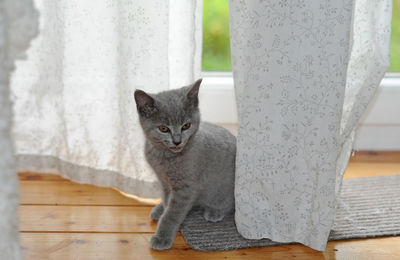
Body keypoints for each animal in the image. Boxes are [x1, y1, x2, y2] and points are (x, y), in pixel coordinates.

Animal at [134, 79, 236, 250]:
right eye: (163, 128)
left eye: (186, 126)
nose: (177, 141)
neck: (164, 157)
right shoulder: (164, 182)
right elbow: (167, 201)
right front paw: (163, 209)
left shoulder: (186, 189)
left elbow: (172, 214)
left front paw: (162, 237)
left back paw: (214, 211)